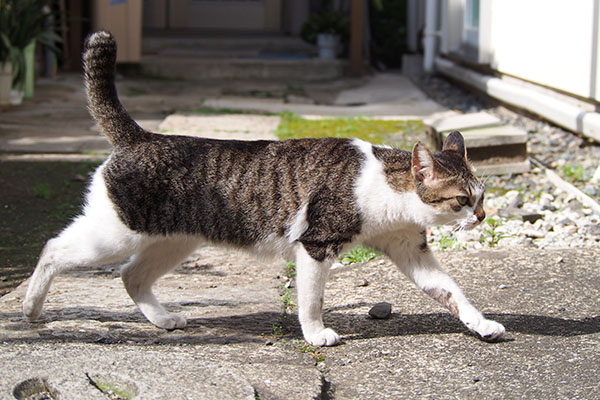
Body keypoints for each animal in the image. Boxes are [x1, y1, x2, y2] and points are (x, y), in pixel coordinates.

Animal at [22, 31, 506, 346]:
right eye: (462, 200)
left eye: (482, 198)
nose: (482, 216)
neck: (389, 192)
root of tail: (142, 137)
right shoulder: (316, 246)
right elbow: (311, 301)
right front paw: (316, 335)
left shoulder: (410, 250)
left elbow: (452, 291)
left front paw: (482, 325)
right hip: (114, 234)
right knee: (52, 249)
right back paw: (30, 308)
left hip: (173, 242)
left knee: (131, 276)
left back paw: (162, 320)